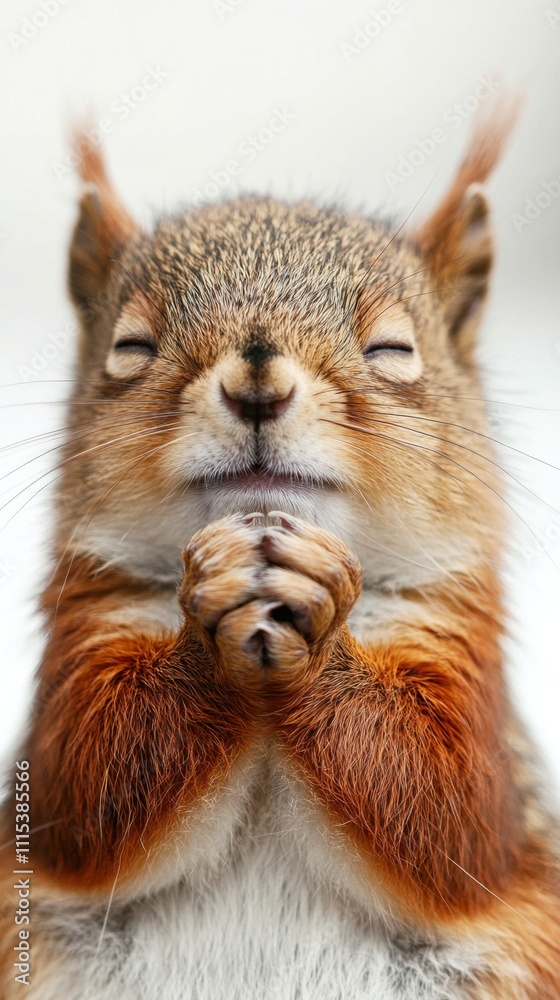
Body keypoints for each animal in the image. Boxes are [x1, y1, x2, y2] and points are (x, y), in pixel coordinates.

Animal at [0, 108, 559, 1000]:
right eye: (130, 347)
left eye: (394, 351)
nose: (257, 379)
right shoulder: (90, 619)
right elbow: (80, 786)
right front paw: (207, 631)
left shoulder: (456, 643)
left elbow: (454, 812)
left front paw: (320, 630)